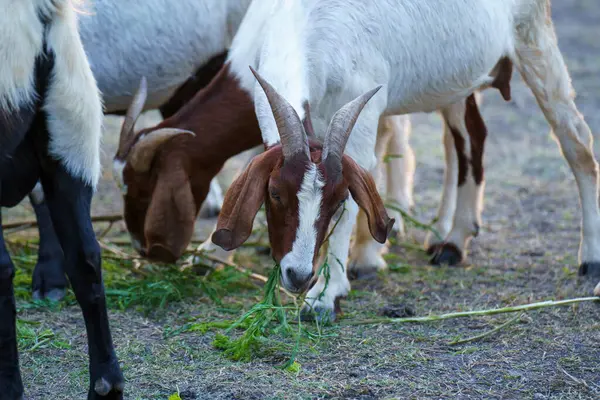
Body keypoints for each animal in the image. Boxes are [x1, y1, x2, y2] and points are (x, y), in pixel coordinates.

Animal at [211, 0, 600, 320]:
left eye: (336, 200)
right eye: (274, 193)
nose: (298, 275)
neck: (307, 20)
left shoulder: (362, 116)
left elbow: (355, 196)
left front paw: (325, 296)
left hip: (534, 40)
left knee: (577, 142)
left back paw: (590, 260)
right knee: (468, 138)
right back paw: (453, 241)